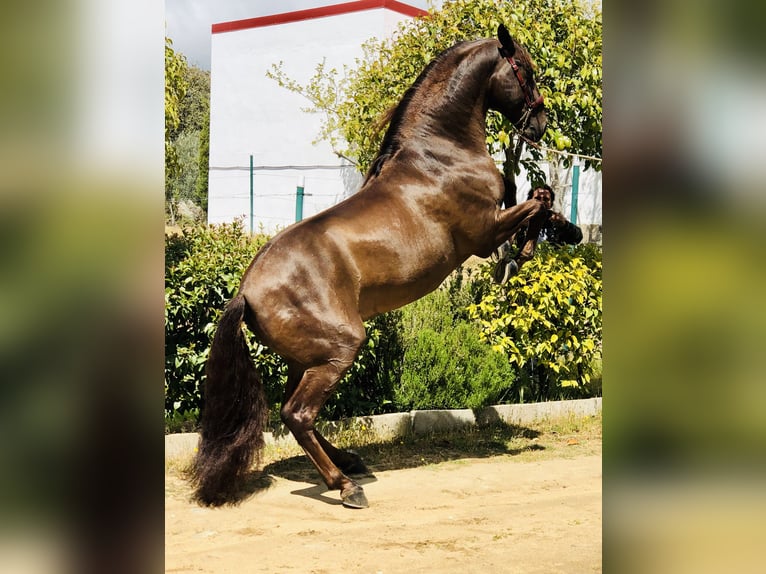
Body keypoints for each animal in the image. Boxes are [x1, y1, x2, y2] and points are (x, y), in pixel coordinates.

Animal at [195, 24, 548, 510]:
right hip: (341, 347)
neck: (441, 154)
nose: (541, 124)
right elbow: (539, 202)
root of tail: (247, 290)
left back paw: (348, 462)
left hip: (306, 358)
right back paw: (346, 486)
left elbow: (539, 197)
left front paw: (527, 250)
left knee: (293, 411)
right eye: (525, 71)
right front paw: (518, 258)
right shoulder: (483, 233)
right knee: (298, 413)